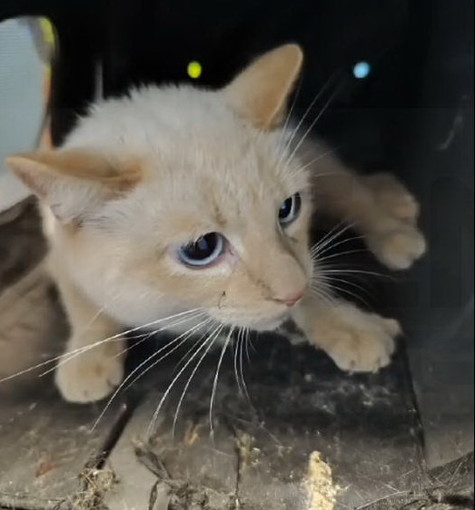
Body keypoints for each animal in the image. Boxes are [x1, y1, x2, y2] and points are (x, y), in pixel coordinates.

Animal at [5, 44, 426, 402]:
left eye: (287, 209)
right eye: (202, 249)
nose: (292, 292)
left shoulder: (302, 261)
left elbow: (315, 281)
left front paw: (347, 324)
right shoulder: (60, 257)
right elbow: (84, 307)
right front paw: (87, 356)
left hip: (314, 157)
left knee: (355, 192)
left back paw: (395, 223)